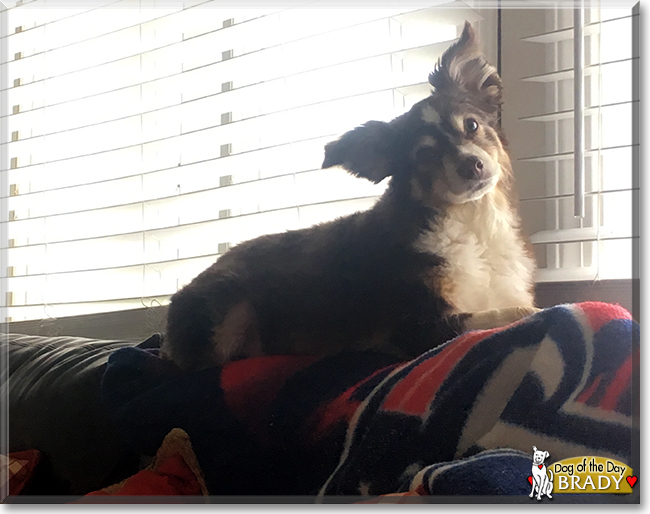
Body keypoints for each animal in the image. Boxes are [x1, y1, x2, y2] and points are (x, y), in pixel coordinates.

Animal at [161, 22, 536, 370]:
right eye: (424, 155)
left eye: (471, 125)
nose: (471, 165)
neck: (472, 222)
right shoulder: (417, 326)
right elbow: (517, 311)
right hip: (229, 312)